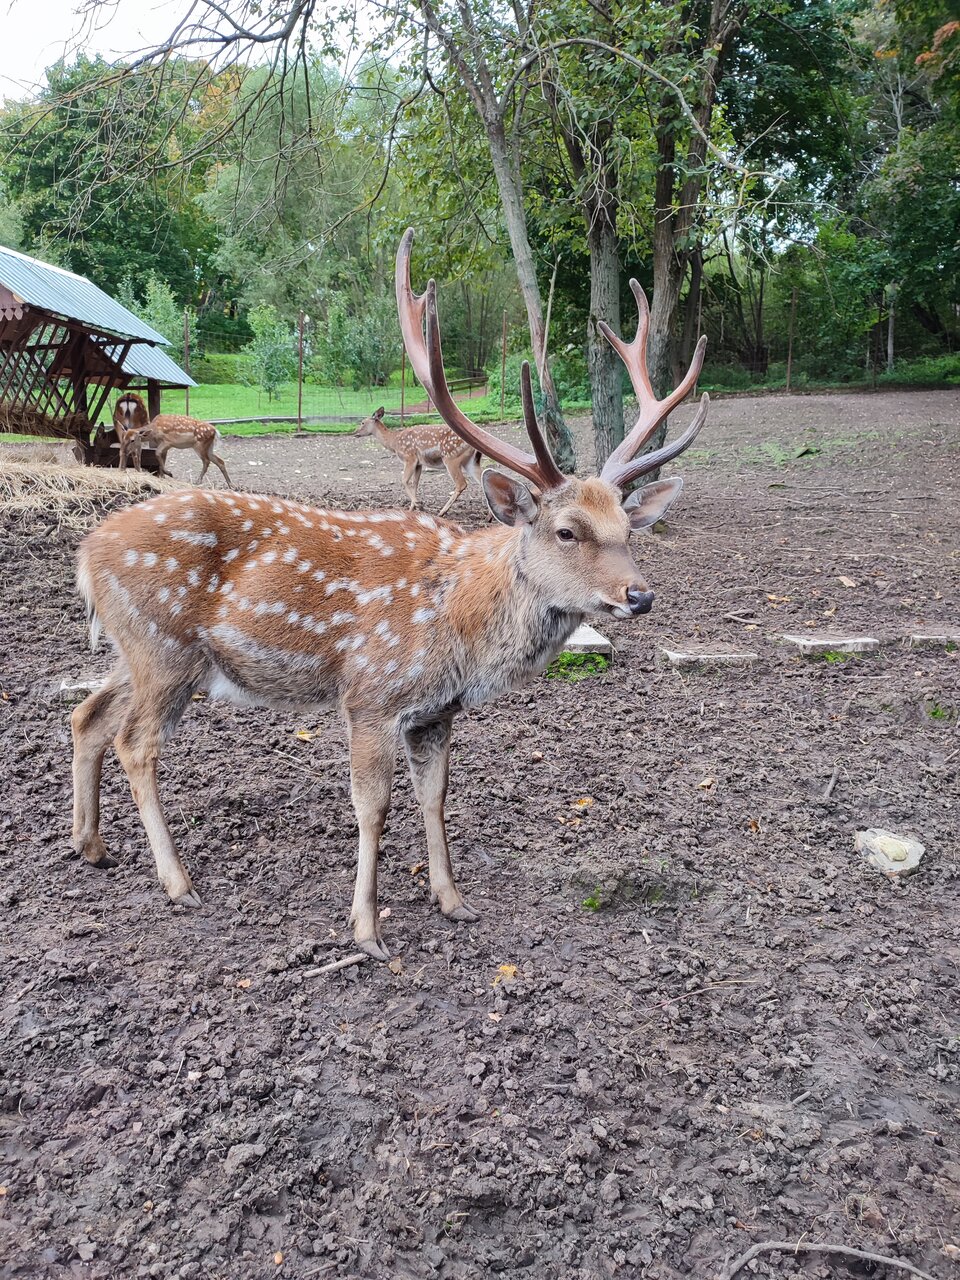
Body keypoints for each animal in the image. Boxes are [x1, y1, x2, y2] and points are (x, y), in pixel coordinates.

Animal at [71, 228, 709, 961]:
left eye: (628, 529)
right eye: (567, 530)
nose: (640, 595)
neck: (459, 628)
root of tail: (86, 555)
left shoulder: (435, 711)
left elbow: (435, 797)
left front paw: (453, 900)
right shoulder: (369, 694)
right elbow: (371, 807)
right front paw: (367, 929)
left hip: (138, 650)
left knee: (87, 714)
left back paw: (90, 845)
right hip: (164, 649)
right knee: (135, 743)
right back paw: (177, 882)